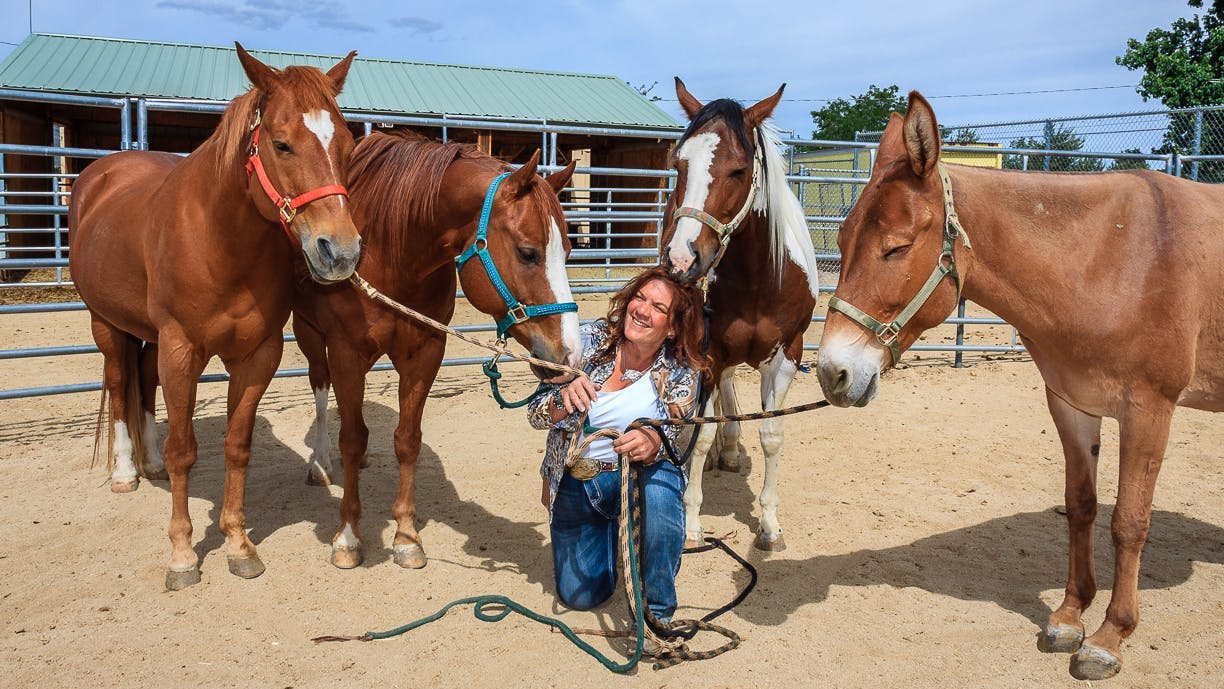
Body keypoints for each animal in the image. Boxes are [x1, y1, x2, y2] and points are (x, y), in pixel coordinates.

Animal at [68, 45, 362, 590]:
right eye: (282, 144)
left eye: (348, 147)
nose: (341, 252)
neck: (221, 241)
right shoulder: (183, 350)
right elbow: (186, 448)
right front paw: (183, 555)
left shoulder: (258, 355)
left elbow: (236, 445)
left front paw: (239, 544)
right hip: (106, 324)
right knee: (119, 384)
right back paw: (125, 473)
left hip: (149, 337)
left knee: (143, 381)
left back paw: (152, 464)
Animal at [291, 130, 581, 569]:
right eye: (528, 252)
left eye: (567, 252)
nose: (569, 356)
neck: (390, 250)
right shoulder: (345, 352)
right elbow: (352, 437)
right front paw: (348, 537)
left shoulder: (425, 353)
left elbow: (407, 439)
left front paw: (407, 537)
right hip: (309, 335)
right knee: (322, 393)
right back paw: (321, 463)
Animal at [658, 78, 822, 551]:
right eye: (679, 164)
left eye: (738, 169)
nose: (682, 258)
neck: (757, 280)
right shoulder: (710, 354)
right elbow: (701, 434)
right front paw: (692, 525)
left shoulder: (787, 357)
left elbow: (771, 435)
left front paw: (769, 525)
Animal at [816, 91, 1223, 680]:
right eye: (843, 240)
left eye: (896, 248)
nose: (832, 372)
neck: (1111, 257)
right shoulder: (1072, 404)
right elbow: (1081, 505)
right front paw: (1071, 615)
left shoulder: (1150, 411)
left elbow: (1129, 522)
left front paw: (1110, 635)